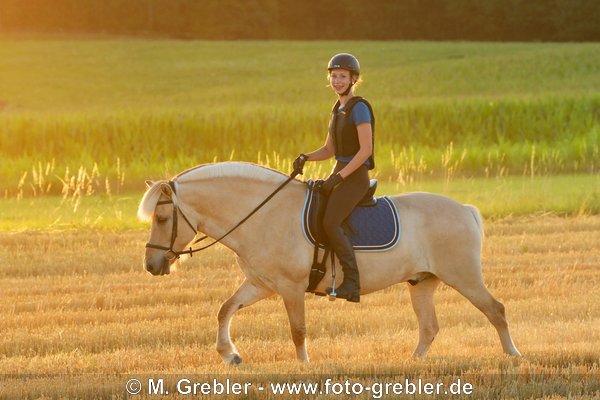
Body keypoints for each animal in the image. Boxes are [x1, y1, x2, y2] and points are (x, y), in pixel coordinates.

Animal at [139, 162, 520, 362]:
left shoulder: (291, 287)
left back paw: (513, 355)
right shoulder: (261, 284)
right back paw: (413, 364)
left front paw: (303, 368)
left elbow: (297, 330)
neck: (263, 215)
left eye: (161, 218)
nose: (151, 265)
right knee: (429, 327)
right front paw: (229, 354)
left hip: (464, 277)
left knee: (496, 310)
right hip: (423, 282)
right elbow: (225, 309)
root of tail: (465, 210)